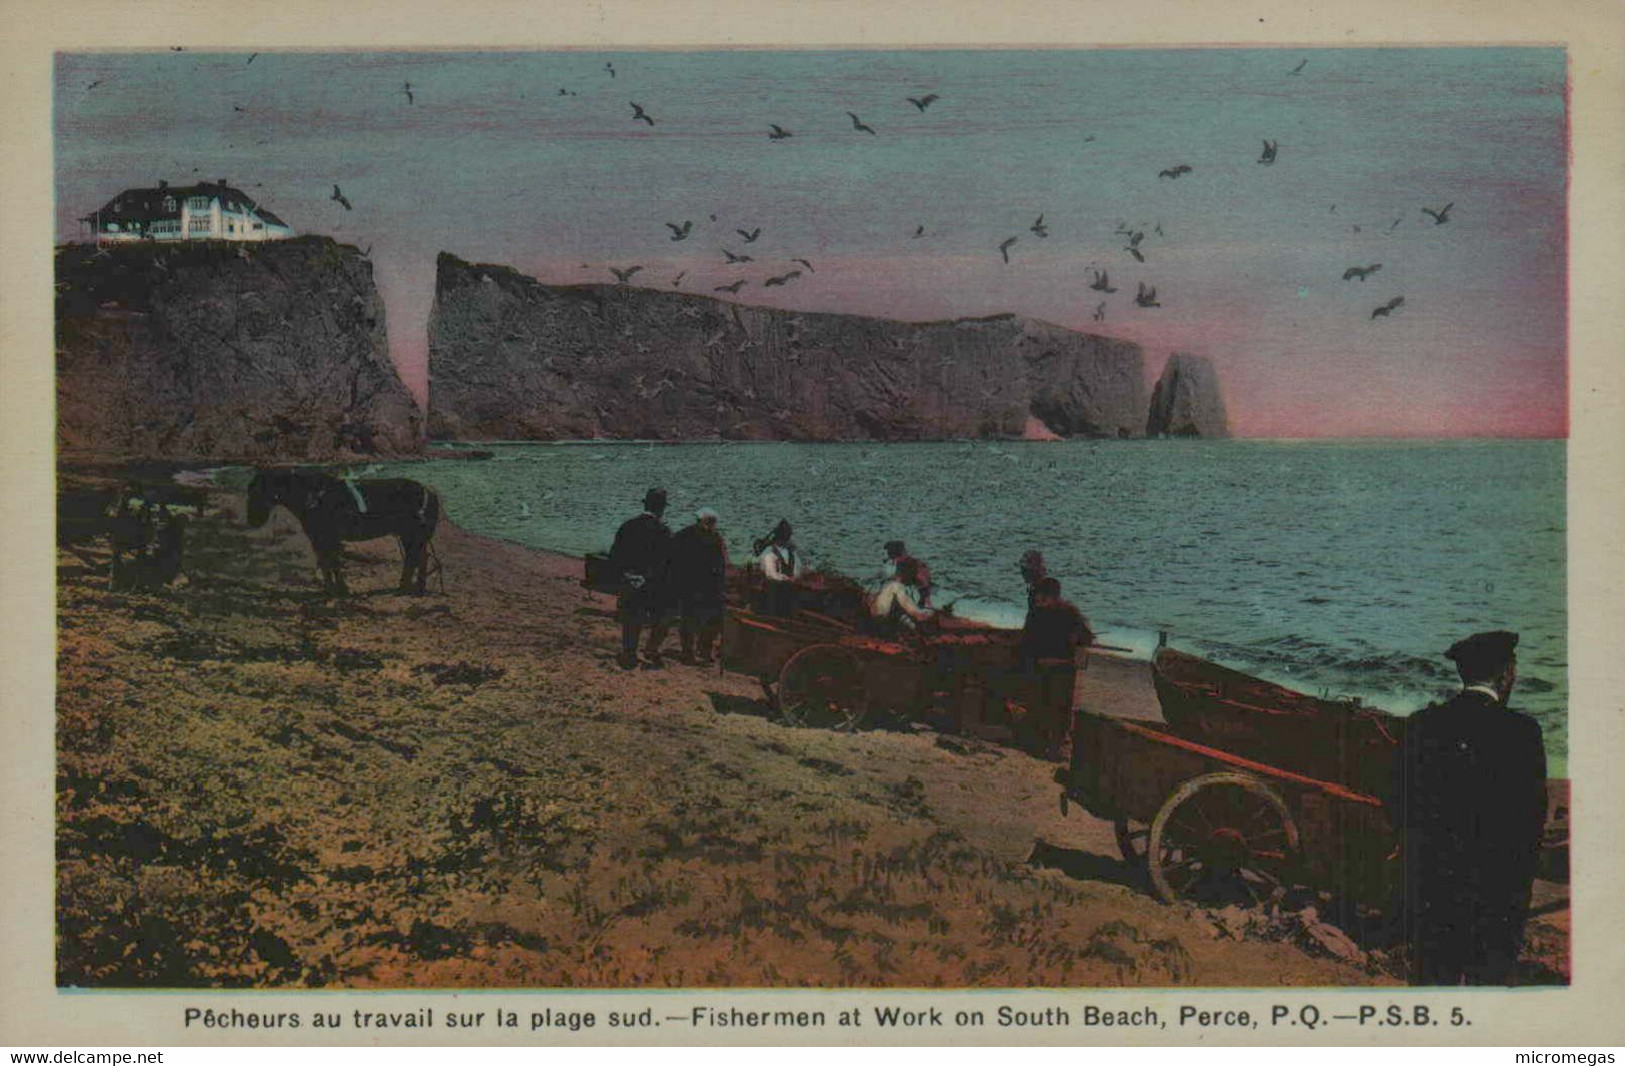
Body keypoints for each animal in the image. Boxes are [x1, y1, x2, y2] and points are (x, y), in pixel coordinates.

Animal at [247, 471, 442, 594]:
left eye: (256, 493)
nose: (251, 521)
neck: (312, 497)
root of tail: (429, 491)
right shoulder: (318, 539)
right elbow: (326, 563)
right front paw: (330, 589)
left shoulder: (328, 537)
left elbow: (332, 563)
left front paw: (340, 589)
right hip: (409, 536)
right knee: (418, 559)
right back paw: (412, 587)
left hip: (414, 535)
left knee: (416, 559)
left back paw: (410, 588)